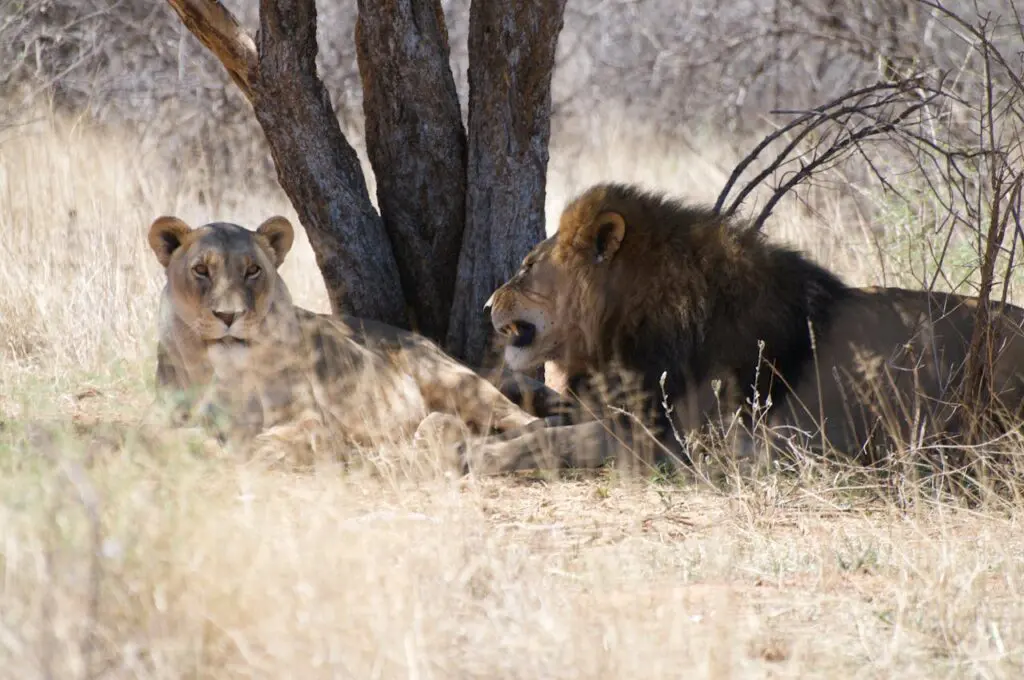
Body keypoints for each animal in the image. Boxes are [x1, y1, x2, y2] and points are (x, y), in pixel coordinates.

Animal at [147, 214, 546, 465]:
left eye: (253, 270)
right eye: (201, 270)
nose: (228, 316)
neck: (229, 372)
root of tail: (421, 339)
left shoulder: (310, 420)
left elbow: (271, 440)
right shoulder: (170, 418)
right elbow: (164, 437)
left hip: (455, 381)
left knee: (526, 421)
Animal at [464, 182, 1024, 475]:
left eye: (526, 267)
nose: (486, 303)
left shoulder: (679, 436)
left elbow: (555, 441)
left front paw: (478, 455)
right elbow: (545, 414)